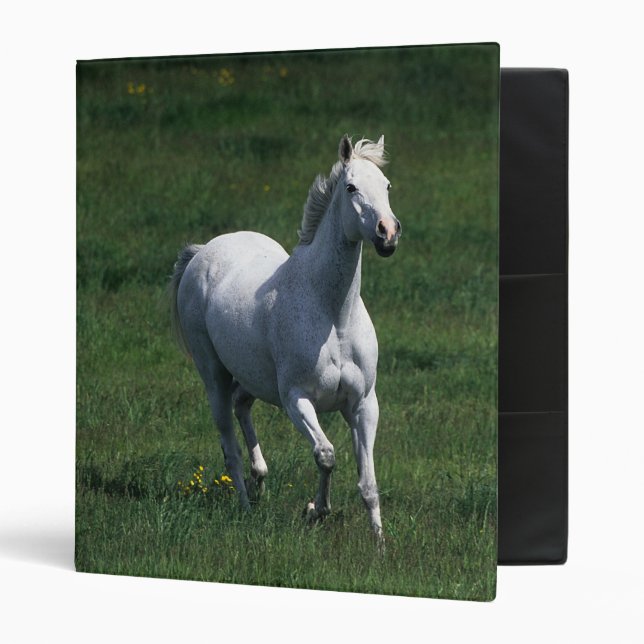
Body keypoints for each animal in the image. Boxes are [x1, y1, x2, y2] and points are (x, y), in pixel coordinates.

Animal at [170, 134, 401, 539]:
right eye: (351, 187)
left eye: (386, 186)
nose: (387, 233)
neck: (333, 316)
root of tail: (201, 252)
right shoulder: (296, 399)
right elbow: (326, 455)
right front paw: (315, 511)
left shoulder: (363, 405)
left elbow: (368, 483)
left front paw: (379, 542)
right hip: (213, 375)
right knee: (229, 445)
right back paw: (246, 505)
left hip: (251, 378)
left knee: (242, 407)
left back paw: (259, 482)